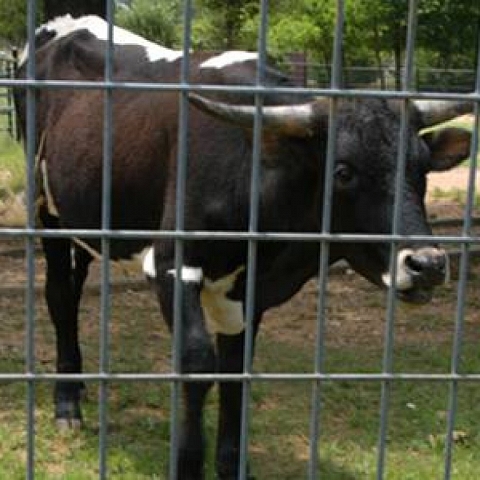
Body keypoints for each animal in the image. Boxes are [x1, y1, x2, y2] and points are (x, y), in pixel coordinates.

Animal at [15, 15, 472, 480]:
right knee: (59, 295)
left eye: (423, 168)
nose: (428, 264)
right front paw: (187, 463)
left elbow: (236, 370)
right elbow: (197, 363)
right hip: (45, 210)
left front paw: (231, 462)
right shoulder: (171, 264)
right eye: (343, 171)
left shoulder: (250, 288)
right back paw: (67, 403)